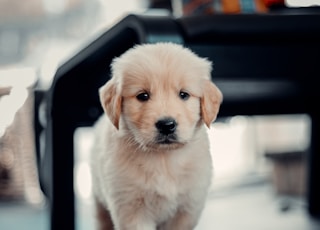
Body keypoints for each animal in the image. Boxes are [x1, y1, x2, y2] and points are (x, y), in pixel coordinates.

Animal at [90, 41, 222, 230]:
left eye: (184, 94)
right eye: (142, 96)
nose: (166, 125)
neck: (163, 158)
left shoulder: (187, 209)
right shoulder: (131, 209)